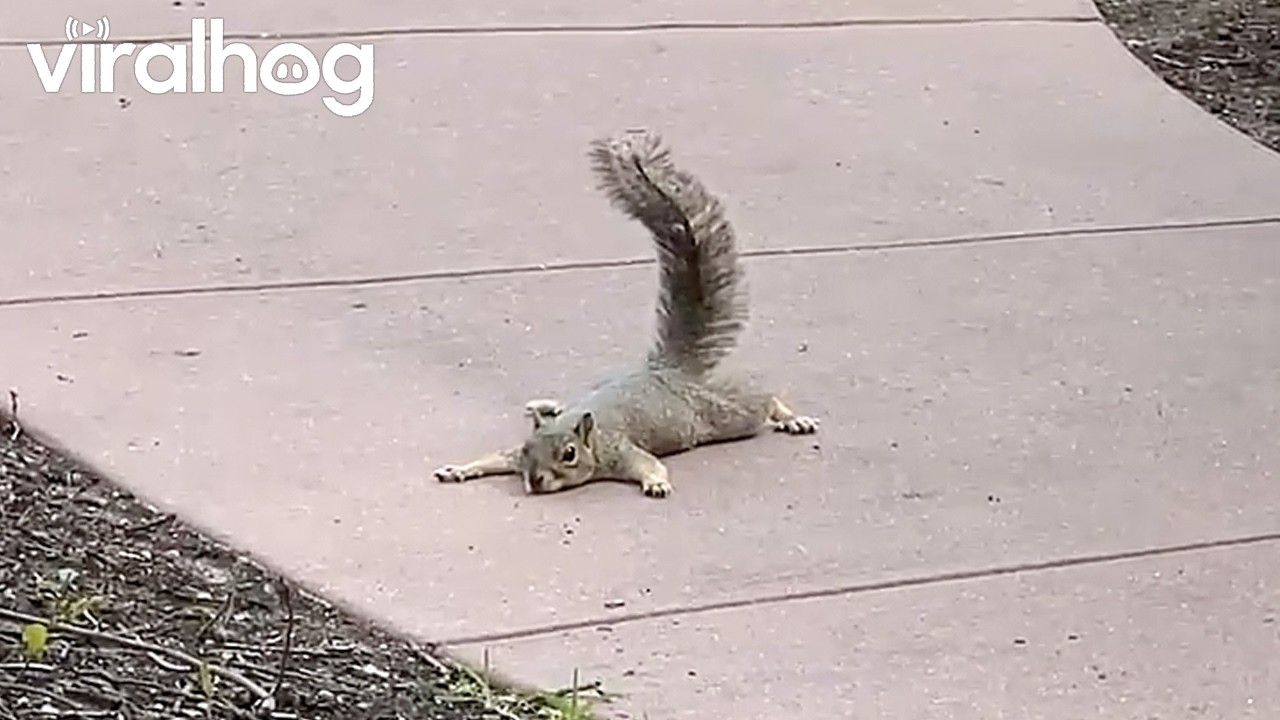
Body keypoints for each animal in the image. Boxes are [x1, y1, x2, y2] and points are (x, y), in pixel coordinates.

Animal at [433, 129, 819, 498]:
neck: (590, 435)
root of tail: (666, 369)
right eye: (527, 449)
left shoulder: (622, 450)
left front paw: (656, 484)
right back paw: (547, 404)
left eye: (569, 454)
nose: (536, 481)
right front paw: (459, 469)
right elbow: (494, 457)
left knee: (760, 402)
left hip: (726, 415)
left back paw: (790, 418)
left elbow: (649, 465)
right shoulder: (515, 456)